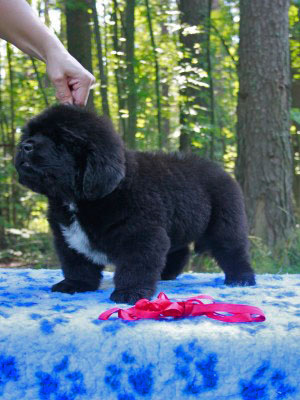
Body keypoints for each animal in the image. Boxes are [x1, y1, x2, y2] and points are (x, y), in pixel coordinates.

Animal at [14, 104, 255, 304]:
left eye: (61, 141)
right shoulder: (67, 237)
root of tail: (221, 170)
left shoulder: (140, 235)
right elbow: (76, 264)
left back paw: (241, 279)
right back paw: (166, 274)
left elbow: (135, 267)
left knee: (233, 250)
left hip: (225, 223)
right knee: (179, 250)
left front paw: (130, 293)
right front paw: (75, 285)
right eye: (31, 133)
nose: (25, 146)